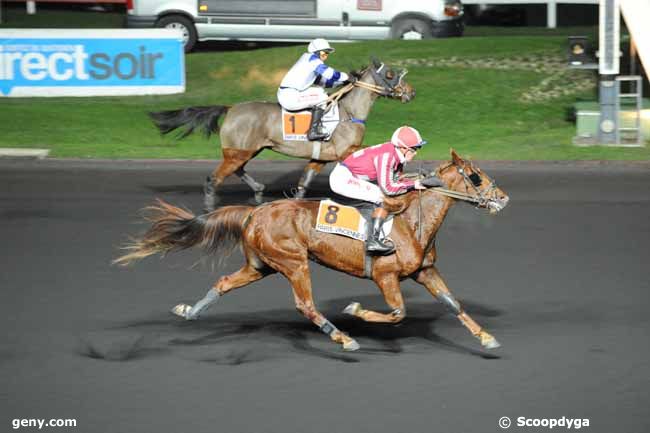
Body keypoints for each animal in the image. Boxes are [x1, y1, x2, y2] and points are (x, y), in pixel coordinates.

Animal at [115, 150, 506, 350]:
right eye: (476, 177)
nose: (502, 198)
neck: (411, 221)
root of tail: (254, 212)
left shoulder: (425, 270)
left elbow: (453, 303)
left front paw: (486, 337)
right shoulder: (385, 275)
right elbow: (397, 313)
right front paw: (356, 310)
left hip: (260, 265)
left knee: (225, 282)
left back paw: (190, 312)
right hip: (294, 262)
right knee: (305, 305)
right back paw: (343, 337)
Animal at [149, 57, 412, 211]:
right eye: (389, 74)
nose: (411, 92)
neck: (348, 112)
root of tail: (231, 108)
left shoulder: (320, 156)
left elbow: (305, 181)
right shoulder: (346, 152)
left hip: (247, 149)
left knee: (238, 169)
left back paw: (258, 191)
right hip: (239, 150)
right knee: (216, 177)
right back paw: (210, 205)